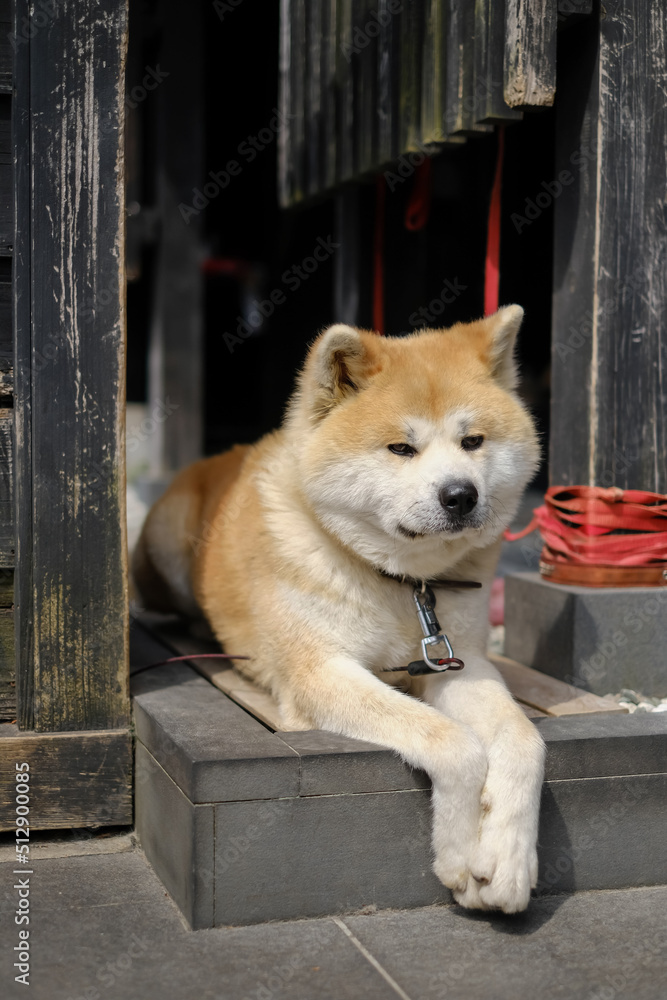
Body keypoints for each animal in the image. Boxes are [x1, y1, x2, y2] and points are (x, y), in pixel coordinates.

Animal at [134, 304, 548, 916]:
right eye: (401, 448)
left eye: (472, 440)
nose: (460, 495)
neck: (403, 586)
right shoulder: (320, 672)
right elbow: (452, 742)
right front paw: (456, 852)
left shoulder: (460, 661)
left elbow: (523, 742)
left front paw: (508, 862)